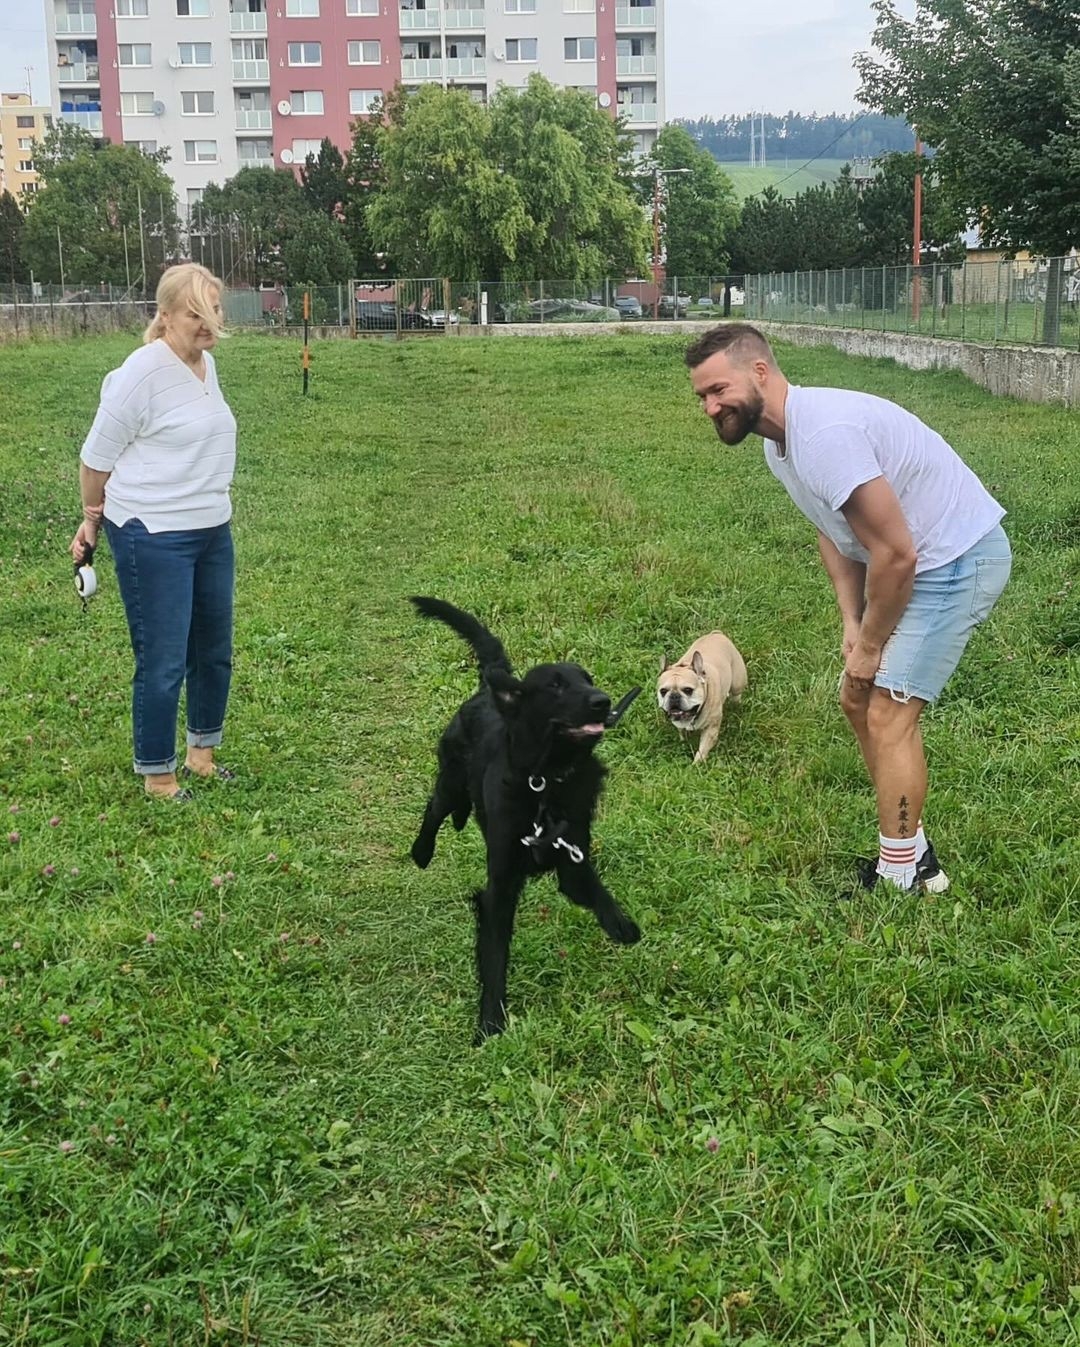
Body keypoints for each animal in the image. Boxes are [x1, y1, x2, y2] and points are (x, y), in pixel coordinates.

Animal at [409, 597, 642, 1042]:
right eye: (555, 685)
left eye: (587, 678)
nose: (603, 701)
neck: (546, 781)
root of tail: (489, 690)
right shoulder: (499, 887)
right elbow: (495, 956)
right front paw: (490, 1022)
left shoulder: (573, 859)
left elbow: (596, 891)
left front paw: (622, 926)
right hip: (450, 782)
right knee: (434, 810)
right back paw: (421, 852)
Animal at [657, 631, 747, 763]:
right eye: (663, 691)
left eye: (688, 690)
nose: (674, 696)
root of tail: (716, 633)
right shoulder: (679, 724)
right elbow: (682, 733)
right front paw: (684, 742)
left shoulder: (710, 730)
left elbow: (702, 750)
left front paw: (696, 764)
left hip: (737, 683)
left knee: (736, 695)